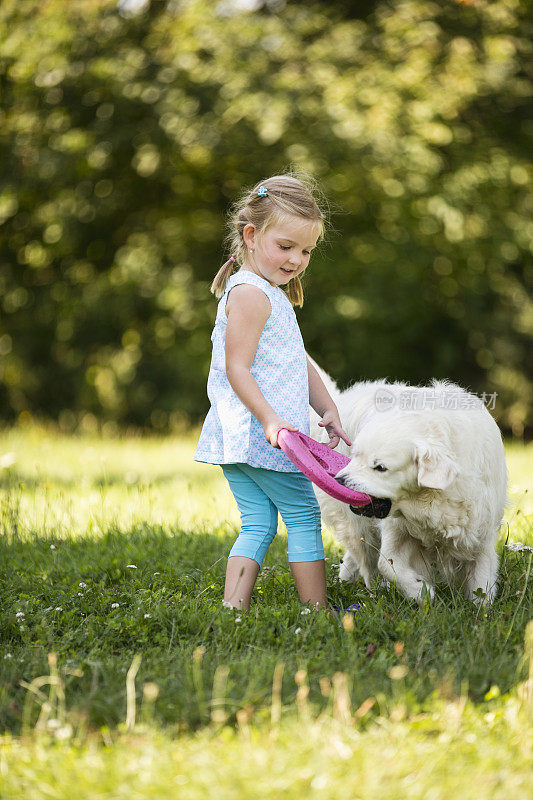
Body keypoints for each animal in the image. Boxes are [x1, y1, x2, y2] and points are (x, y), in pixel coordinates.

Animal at [308, 360, 508, 604]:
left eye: (380, 467)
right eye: (355, 456)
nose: (338, 480)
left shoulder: (481, 534)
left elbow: (482, 584)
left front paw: (480, 609)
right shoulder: (397, 528)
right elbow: (387, 564)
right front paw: (422, 592)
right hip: (356, 526)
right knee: (367, 561)